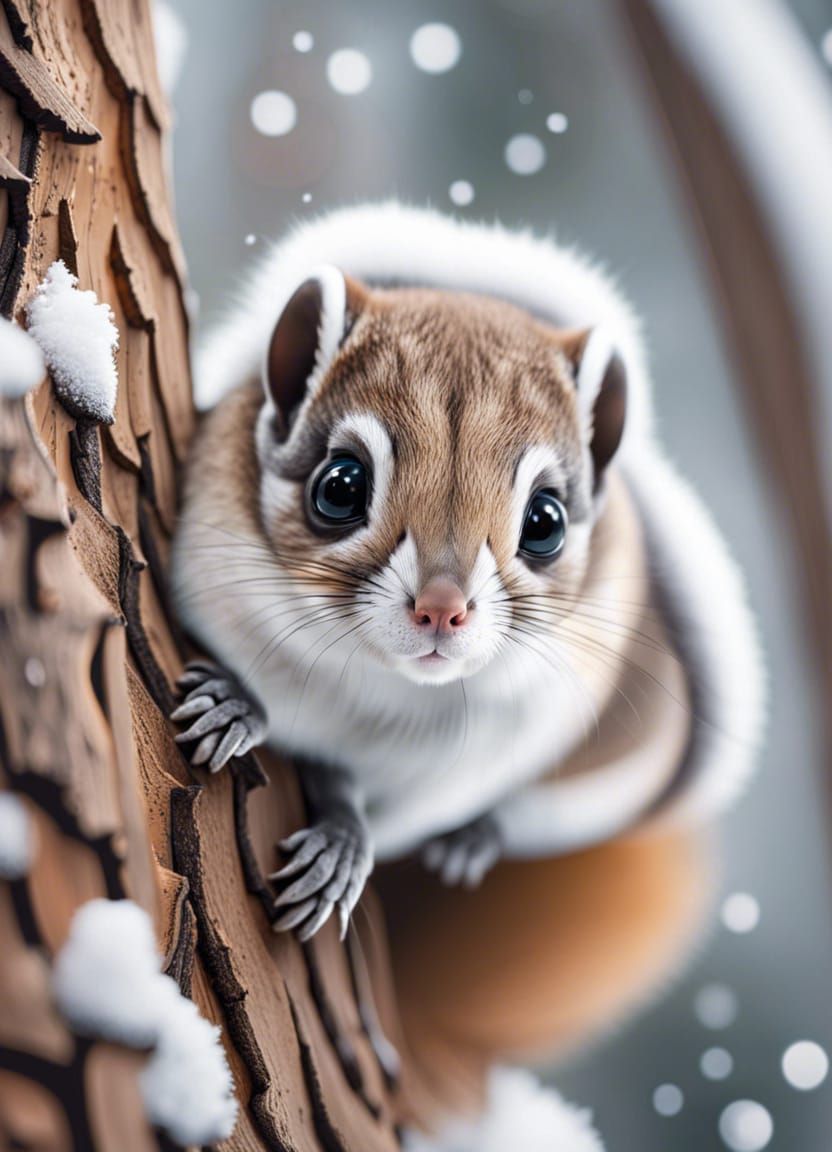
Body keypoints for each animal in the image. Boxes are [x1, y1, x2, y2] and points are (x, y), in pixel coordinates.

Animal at [170, 203, 764, 1139]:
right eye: (340, 485)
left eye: (546, 520)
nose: (442, 610)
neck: (376, 684)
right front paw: (238, 705)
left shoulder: (452, 771)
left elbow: (366, 801)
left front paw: (342, 839)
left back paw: (469, 841)